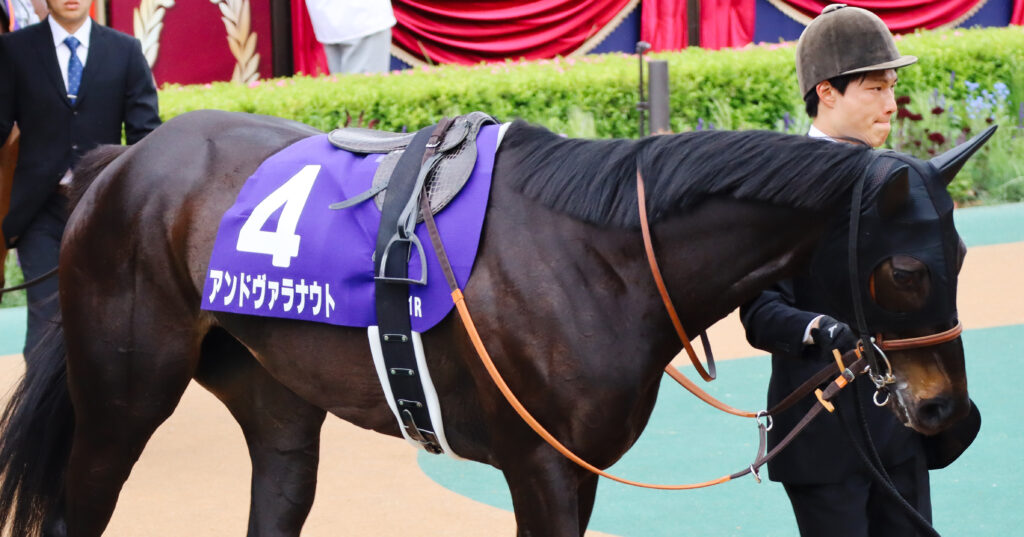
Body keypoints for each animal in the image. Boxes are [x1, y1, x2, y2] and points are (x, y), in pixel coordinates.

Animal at [0, 109, 989, 537]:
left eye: (963, 257)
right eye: (908, 269)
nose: (952, 414)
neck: (603, 254)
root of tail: (119, 166)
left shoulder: (576, 470)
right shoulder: (542, 466)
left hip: (274, 398)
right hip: (123, 395)